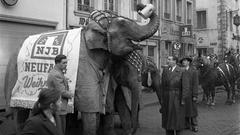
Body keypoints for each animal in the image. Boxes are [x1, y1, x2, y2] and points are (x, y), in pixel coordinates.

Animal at [3, 3, 159, 135]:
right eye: (122, 23)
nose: (140, 7)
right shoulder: (84, 66)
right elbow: (90, 108)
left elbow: (107, 105)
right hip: (13, 74)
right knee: (19, 111)